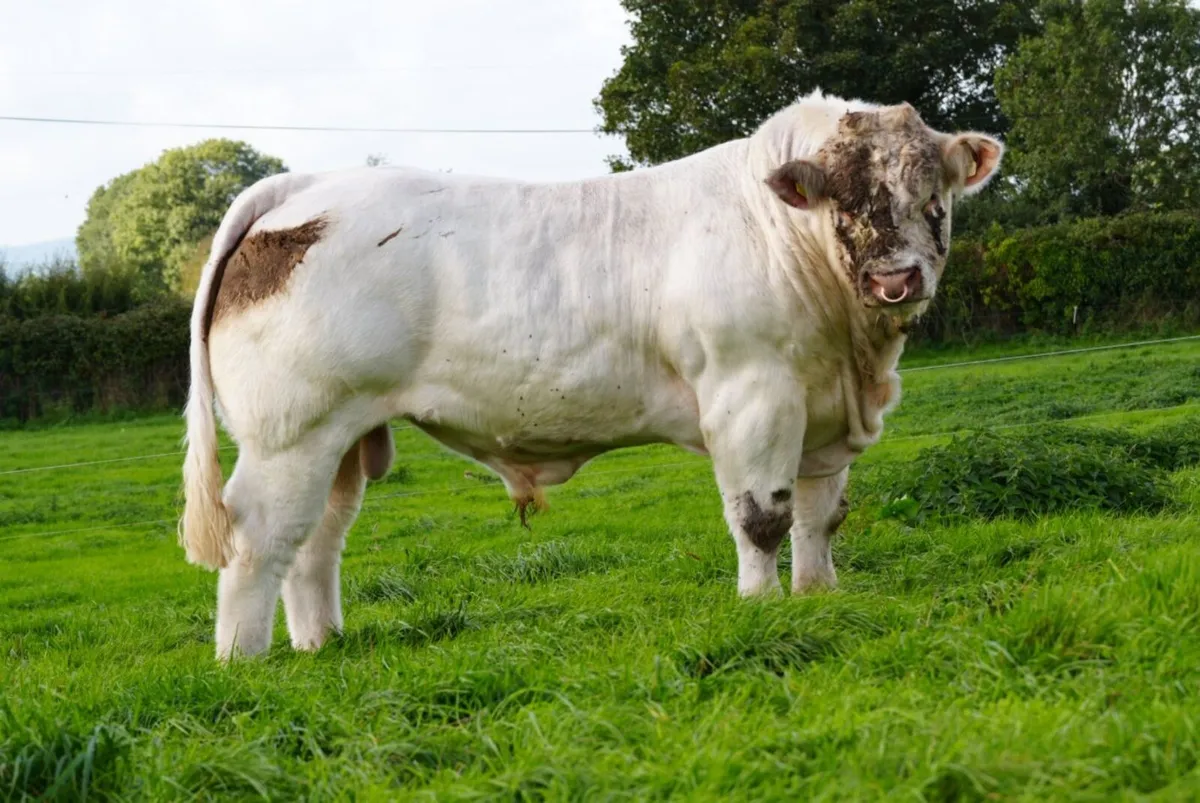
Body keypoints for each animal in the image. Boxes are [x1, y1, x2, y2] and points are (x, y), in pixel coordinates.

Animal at [180, 90, 1002, 660]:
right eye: (844, 196)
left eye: (932, 193)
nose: (896, 280)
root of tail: (305, 185)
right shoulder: (752, 394)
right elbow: (761, 517)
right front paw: (763, 606)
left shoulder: (822, 410)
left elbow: (819, 516)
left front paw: (817, 596)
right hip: (291, 432)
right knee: (260, 536)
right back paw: (245, 660)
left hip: (343, 436)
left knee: (314, 539)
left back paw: (323, 644)